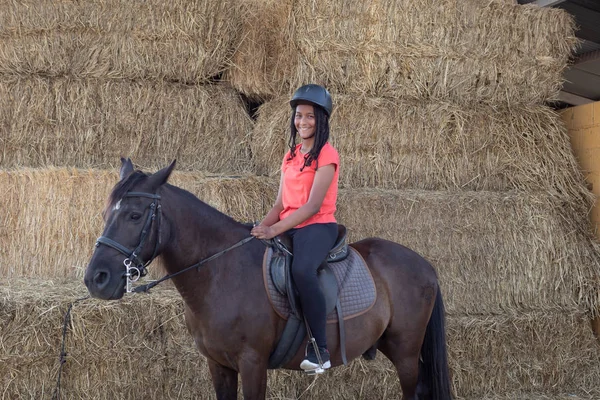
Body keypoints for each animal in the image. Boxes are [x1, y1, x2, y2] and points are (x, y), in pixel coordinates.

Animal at [83, 159, 450, 400]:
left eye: (134, 215)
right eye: (104, 214)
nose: (96, 279)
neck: (221, 274)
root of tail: (424, 265)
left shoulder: (252, 363)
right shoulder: (219, 364)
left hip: (405, 351)